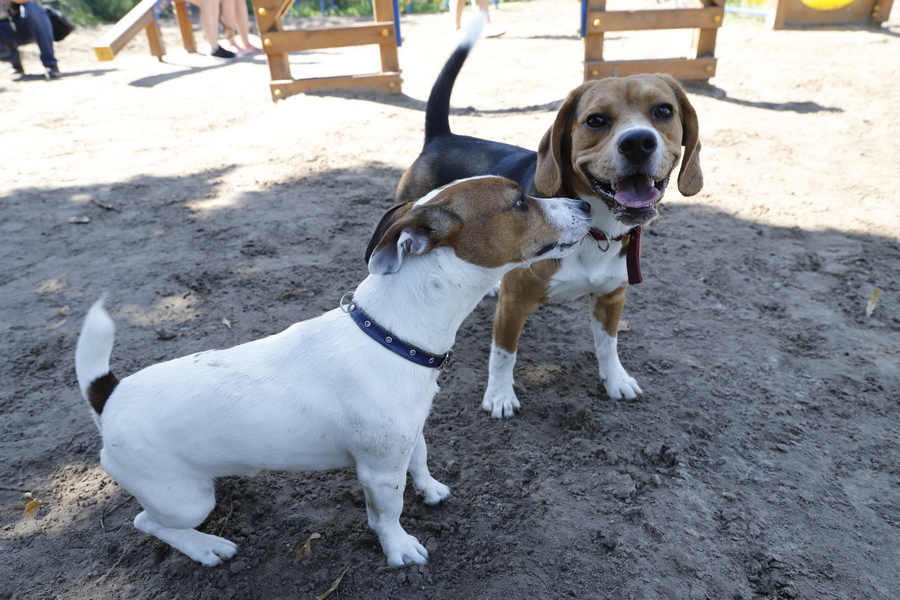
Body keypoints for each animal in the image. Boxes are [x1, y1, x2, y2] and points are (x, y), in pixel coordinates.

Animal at [75, 177, 592, 568]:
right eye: (520, 201)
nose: (586, 202)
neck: (391, 333)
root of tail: (110, 395)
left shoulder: (407, 435)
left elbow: (420, 460)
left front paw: (429, 489)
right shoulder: (379, 472)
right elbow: (388, 514)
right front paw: (399, 548)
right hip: (184, 499)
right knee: (148, 522)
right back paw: (206, 548)